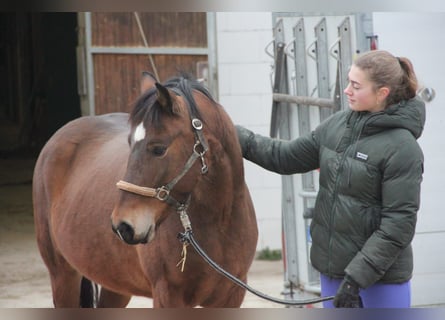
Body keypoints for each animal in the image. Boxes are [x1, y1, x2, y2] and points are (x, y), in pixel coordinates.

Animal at [32, 72, 256, 308]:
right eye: (129, 144)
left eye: (159, 149)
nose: (123, 226)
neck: (219, 223)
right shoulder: (167, 295)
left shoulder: (231, 296)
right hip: (62, 275)